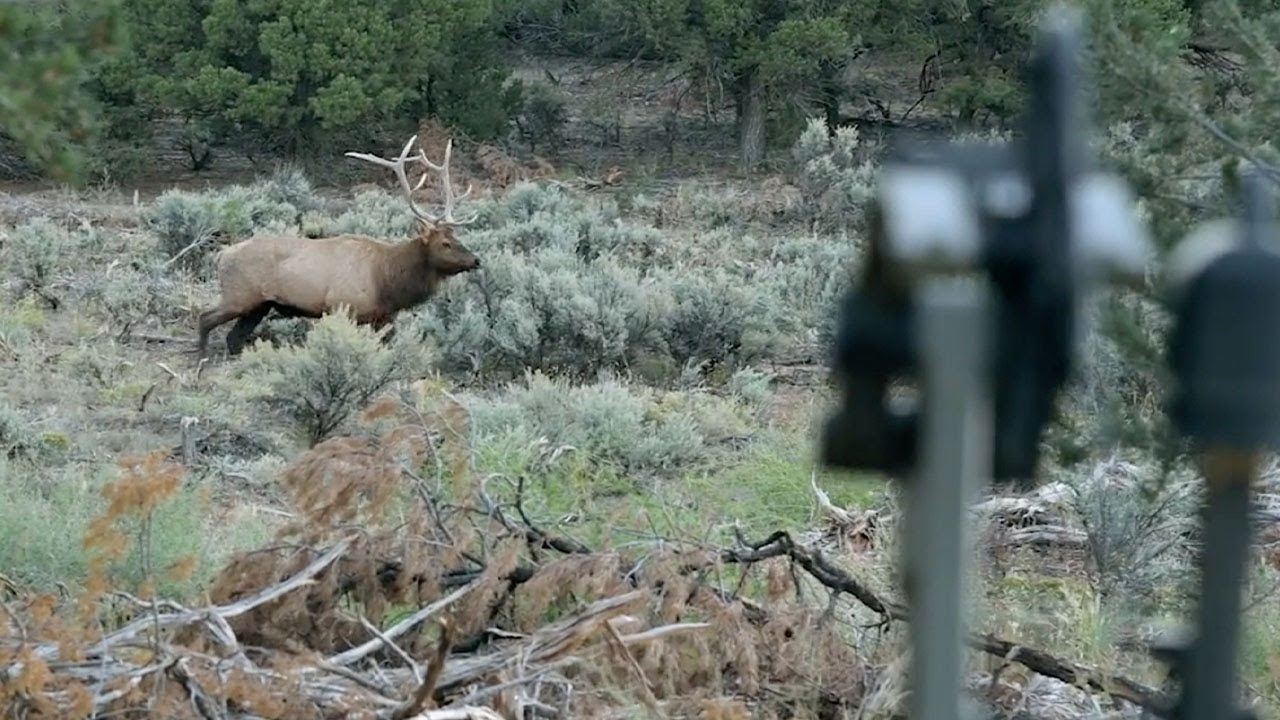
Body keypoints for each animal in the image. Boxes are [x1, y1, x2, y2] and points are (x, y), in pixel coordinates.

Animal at [195, 134, 481, 359]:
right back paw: (202, 359)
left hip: (260, 305)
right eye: (445, 243)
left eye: (458, 238)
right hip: (239, 295)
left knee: (234, 338)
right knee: (205, 319)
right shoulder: (343, 306)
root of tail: (221, 255)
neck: (386, 281)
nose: (476, 260)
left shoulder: (383, 317)